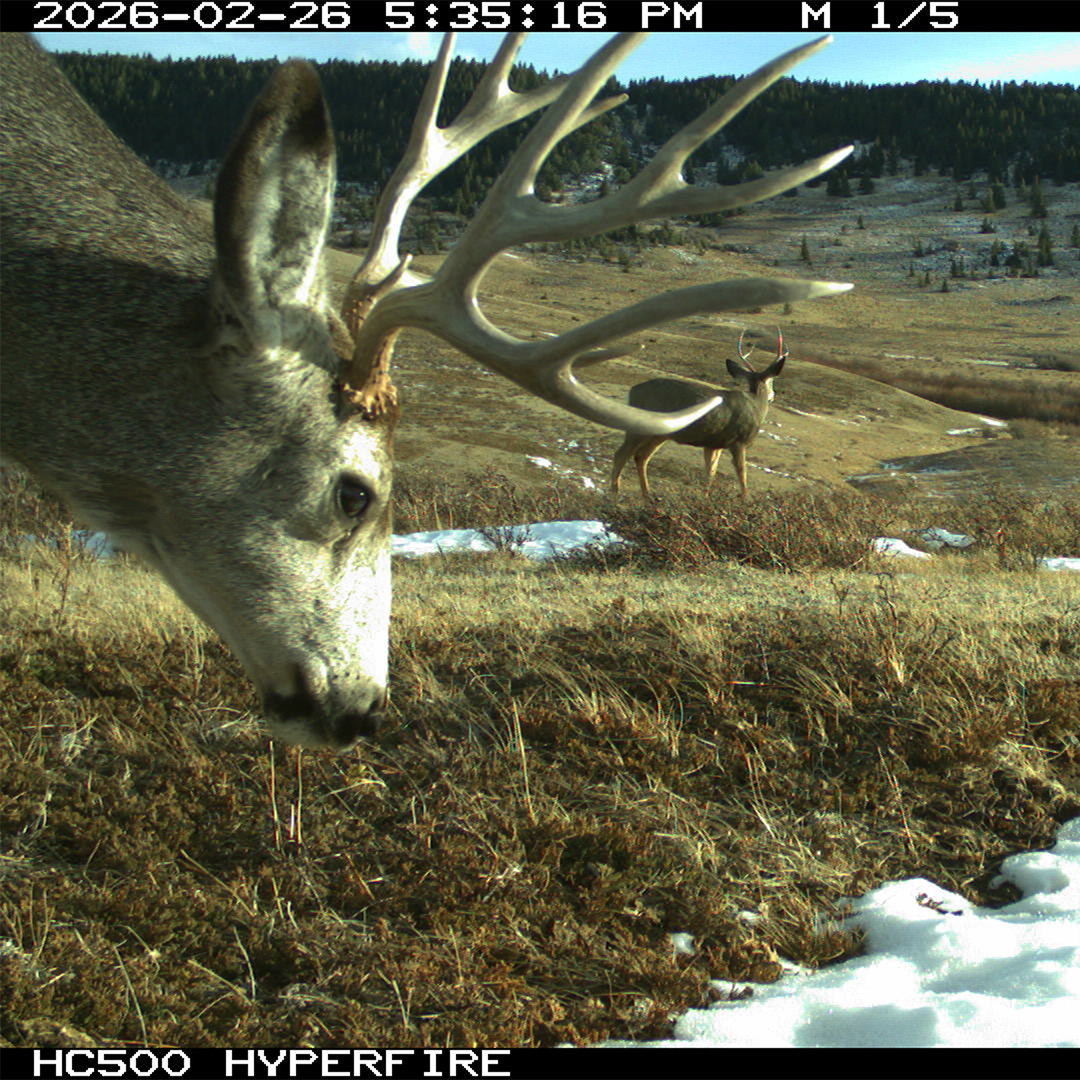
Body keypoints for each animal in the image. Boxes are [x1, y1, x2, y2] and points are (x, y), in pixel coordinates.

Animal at [610, 329, 789, 498]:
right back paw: (616, 493)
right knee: (621, 454)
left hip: (660, 433)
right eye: (772, 381)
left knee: (641, 456)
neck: (756, 405)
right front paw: (745, 500)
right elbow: (742, 473)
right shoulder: (738, 441)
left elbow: (710, 473)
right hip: (640, 424)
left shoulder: (713, 444)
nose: (773, 395)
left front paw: (705, 497)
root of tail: (633, 391)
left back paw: (647, 496)